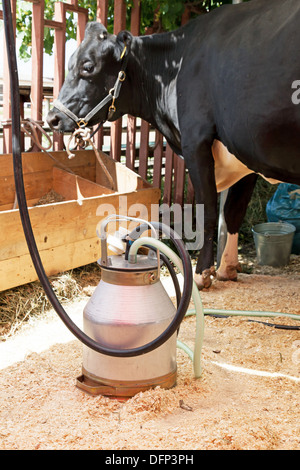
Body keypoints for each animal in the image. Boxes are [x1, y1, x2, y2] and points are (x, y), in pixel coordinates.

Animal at [47, 0, 300, 288]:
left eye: (88, 66)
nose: (52, 118)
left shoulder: (196, 142)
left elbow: (209, 209)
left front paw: (202, 273)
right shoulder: (243, 154)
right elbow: (234, 211)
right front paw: (227, 268)